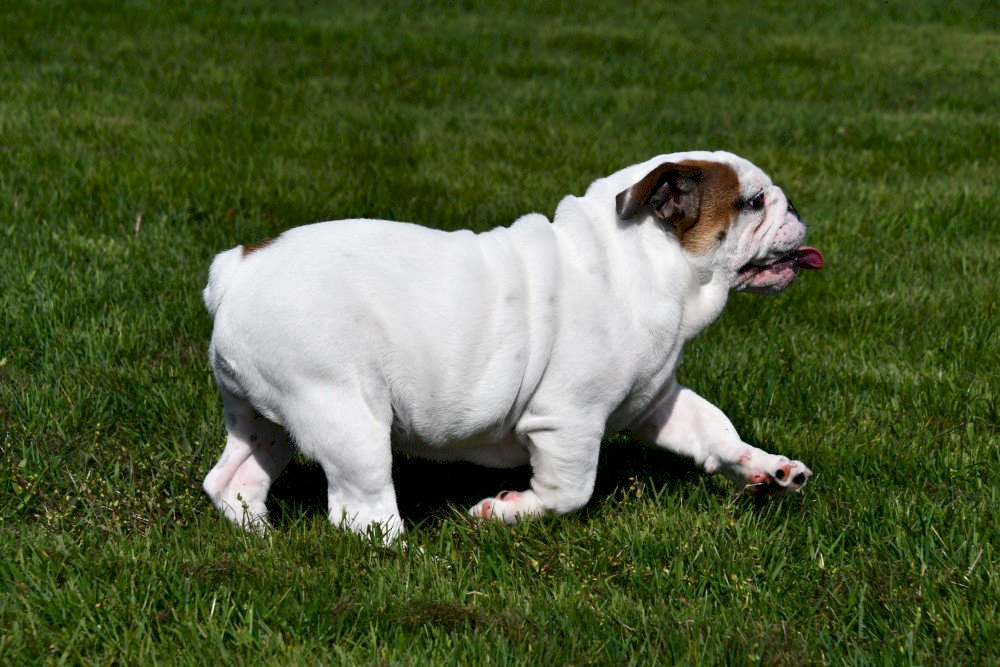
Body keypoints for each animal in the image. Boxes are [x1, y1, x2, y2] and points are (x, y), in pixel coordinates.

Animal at [202, 151, 823, 539]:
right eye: (753, 202)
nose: (795, 206)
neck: (641, 262)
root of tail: (236, 269)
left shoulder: (655, 401)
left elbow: (713, 429)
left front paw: (766, 468)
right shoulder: (567, 422)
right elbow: (569, 491)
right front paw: (506, 511)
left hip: (266, 418)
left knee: (233, 479)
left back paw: (260, 534)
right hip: (345, 413)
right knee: (363, 510)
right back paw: (405, 556)